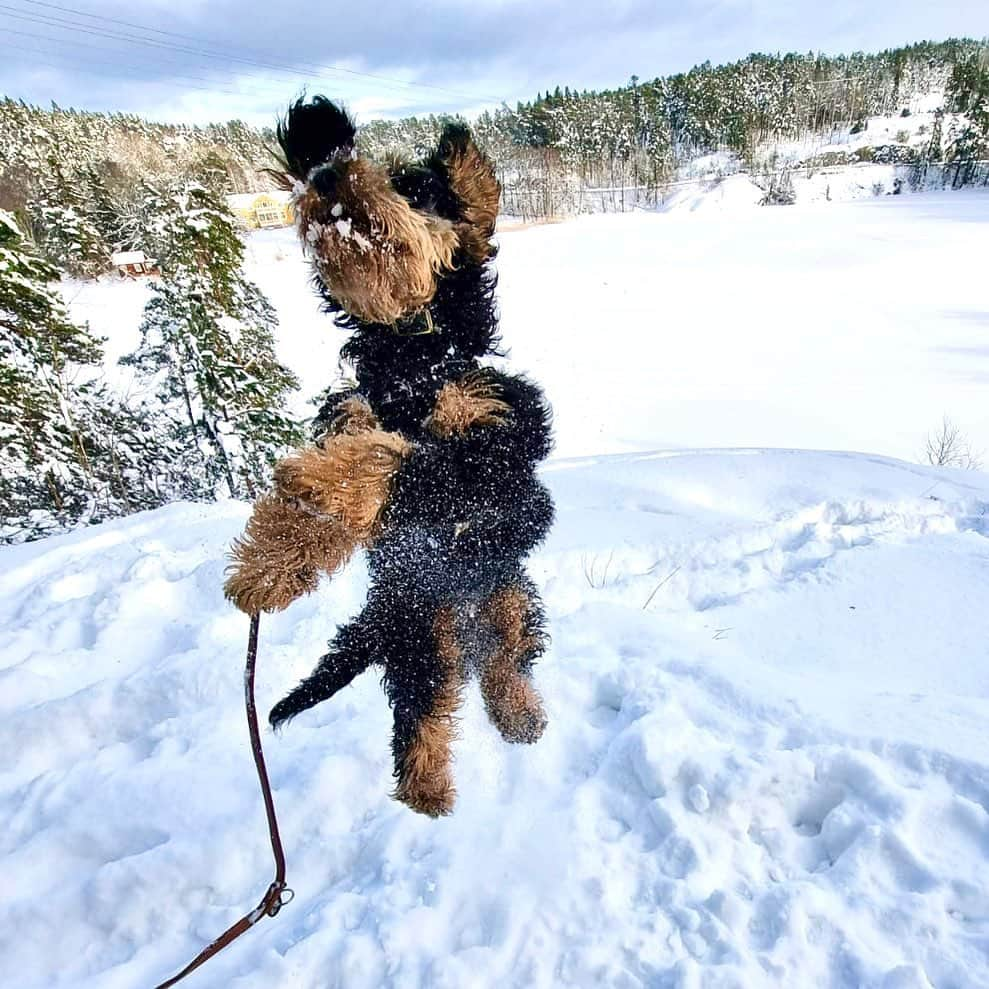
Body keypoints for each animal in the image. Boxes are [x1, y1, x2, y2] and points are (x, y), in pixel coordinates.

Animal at [223, 96, 556, 816]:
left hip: (508, 593)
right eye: (336, 159)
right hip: (418, 640)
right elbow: (343, 480)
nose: (326, 177)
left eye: (412, 187)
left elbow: (408, 462)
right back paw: (426, 787)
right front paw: (265, 568)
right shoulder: (352, 410)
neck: (410, 361)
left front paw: (315, 479)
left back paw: (518, 718)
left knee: (505, 661)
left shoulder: (497, 453)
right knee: (424, 708)